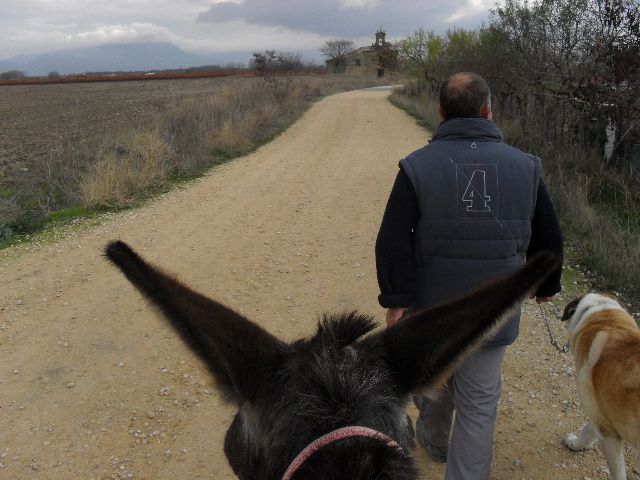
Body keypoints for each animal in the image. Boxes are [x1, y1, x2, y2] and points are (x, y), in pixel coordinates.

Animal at [564, 292, 636, 480]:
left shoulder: (607, 432)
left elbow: (618, 472)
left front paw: (576, 444)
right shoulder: (600, 413)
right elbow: (589, 428)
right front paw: (577, 445)